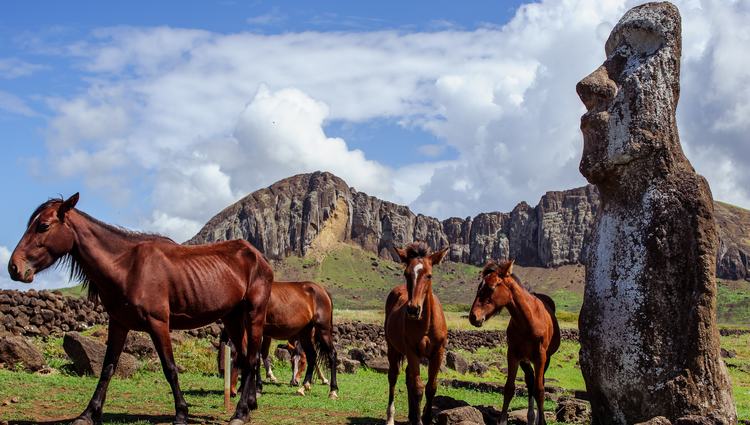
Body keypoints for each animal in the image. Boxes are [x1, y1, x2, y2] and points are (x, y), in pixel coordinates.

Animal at [7, 193, 274, 424]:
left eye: (43, 226)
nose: (14, 268)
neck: (127, 267)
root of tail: (258, 257)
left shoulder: (158, 324)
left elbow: (170, 368)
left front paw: (181, 413)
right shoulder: (118, 324)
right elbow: (107, 369)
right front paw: (88, 414)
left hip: (254, 315)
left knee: (251, 359)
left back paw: (240, 412)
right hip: (232, 318)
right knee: (245, 358)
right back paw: (249, 405)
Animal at [384, 242, 450, 424]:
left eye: (429, 275)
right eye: (406, 274)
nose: (413, 309)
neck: (426, 324)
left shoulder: (438, 352)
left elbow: (431, 386)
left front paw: (425, 418)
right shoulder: (412, 351)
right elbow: (418, 387)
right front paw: (420, 420)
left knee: (408, 377)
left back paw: (412, 415)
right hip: (393, 348)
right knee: (394, 376)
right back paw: (391, 417)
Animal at [470, 258, 560, 424]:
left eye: (491, 287)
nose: (473, 317)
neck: (528, 320)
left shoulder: (541, 357)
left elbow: (540, 390)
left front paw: (542, 421)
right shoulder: (513, 354)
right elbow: (509, 388)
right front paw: (502, 421)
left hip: (545, 359)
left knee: (538, 384)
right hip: (525, 360)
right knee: (530, 381)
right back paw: (530, 417)